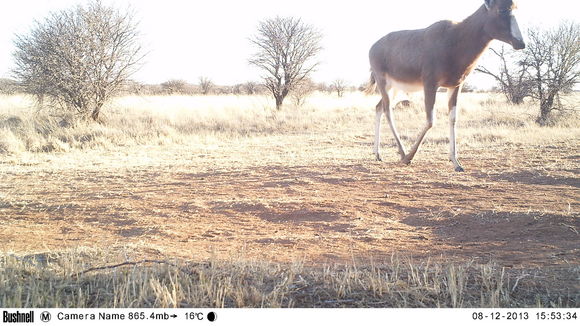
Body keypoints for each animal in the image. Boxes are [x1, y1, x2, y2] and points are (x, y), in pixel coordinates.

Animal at [372, 0, 524, 172]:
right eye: (501, 10)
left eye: (515, 8)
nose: (521, 43)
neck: (455, 36)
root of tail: (373, 47)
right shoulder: (430, 84)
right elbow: (431, 120)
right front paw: (408, 158)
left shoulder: (455, 86)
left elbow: (453, 119)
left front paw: (456, 163)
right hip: (383, 83)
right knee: (387, 110)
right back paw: (403, 153)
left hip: (396, 88)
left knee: (379, 108)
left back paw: (378, 154)